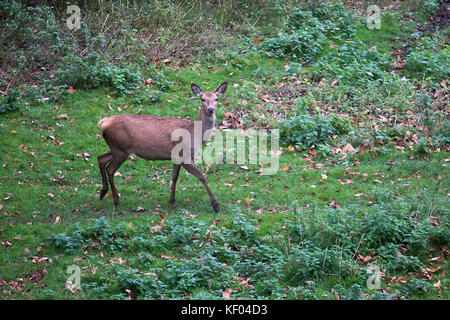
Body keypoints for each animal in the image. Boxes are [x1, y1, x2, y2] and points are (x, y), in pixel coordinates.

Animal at [96, 82, 227, 212]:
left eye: (216, 98)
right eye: (202, 98)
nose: (210, 109)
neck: (195, 133)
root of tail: (102, 123)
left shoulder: (176, 157)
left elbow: (174, 177)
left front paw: (172, 200)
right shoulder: (184, 155)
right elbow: (202, 176)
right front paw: (215, 205)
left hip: (117, 148)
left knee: (101, 158)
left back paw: (103, 192)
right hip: (120, 149)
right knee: (110, 169)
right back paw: (116, 200)